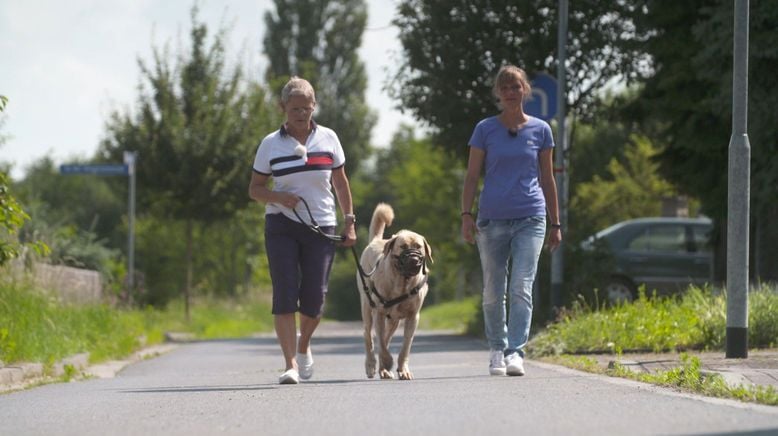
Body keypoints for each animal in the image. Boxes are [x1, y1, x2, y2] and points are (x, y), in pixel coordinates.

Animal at [356, 203, 430, 380]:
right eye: (403, 247)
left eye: (419, 247)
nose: (414, 259)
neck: (402, 282)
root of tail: (376, 240)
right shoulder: (379, 313)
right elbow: (382, 345)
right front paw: (387, 361)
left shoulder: (413, 317)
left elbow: (405, 347)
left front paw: (403, 370)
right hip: (367, 307)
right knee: (369, 336)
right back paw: (371, 365)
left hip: (394, 320)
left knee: (386, 337)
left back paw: (383, 369)